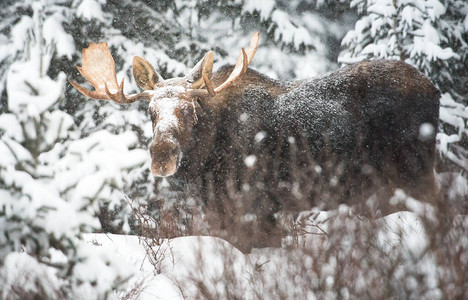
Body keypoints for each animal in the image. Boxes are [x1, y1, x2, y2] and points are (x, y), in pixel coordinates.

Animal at [68, 32, 438, 251]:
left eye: (189, 109)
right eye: (150, 111)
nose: (162, 154)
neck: (203, 167)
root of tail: (433, 88)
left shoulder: (256, 210)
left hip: (416, 172)